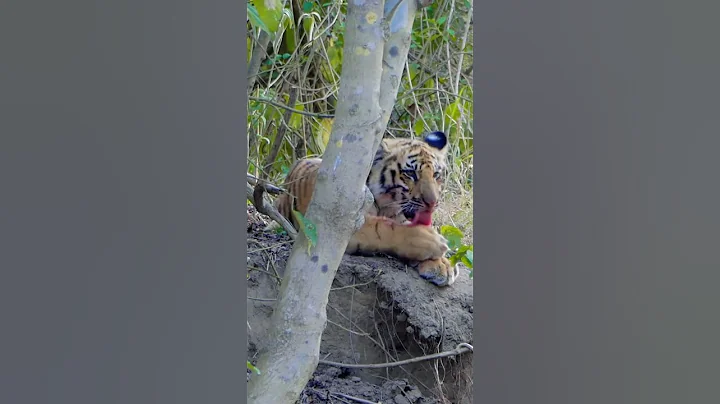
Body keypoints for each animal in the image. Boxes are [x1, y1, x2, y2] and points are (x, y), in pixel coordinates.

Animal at [273, 131, 460, 287]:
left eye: (436, 175)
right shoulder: (338, 224)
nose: (432, 202)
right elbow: (382, 229)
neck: (387, 208)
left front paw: (442, 265)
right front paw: (433, 242)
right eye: (411, 174)